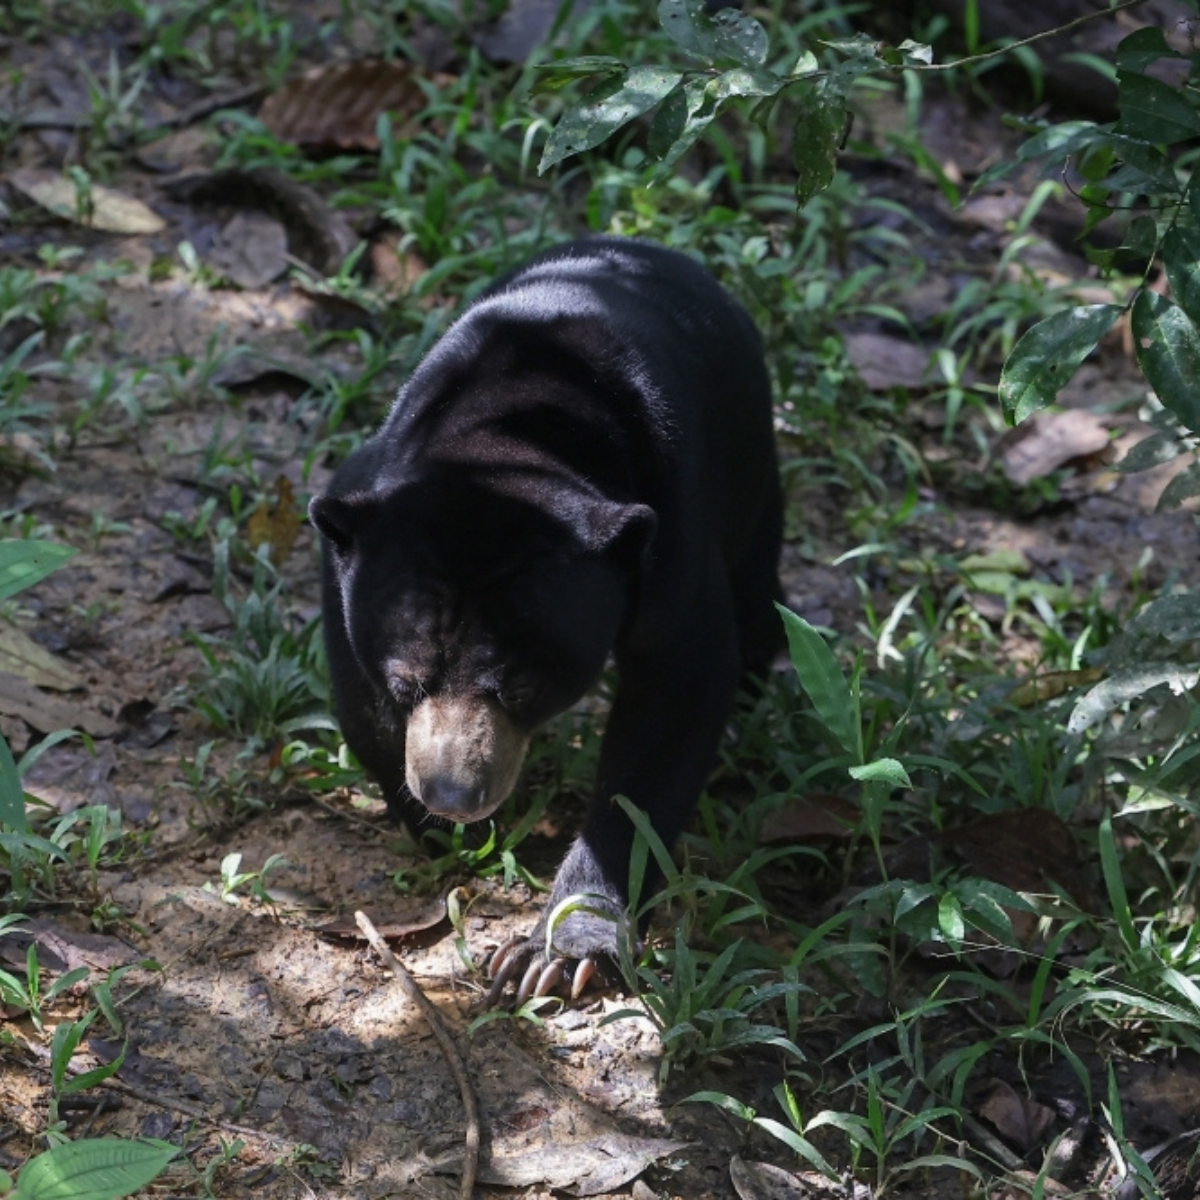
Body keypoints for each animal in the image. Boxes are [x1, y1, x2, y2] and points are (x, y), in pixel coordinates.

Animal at [308, 236, 783, 1004]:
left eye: (523, 687)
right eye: (407, 682)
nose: (455, 795)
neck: (512, 440)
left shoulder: (671, 534)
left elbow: (676, 698)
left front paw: (562, 951)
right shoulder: (364, 510)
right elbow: (355, 681)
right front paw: (426, 822)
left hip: (752, 460)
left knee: (758, 595)